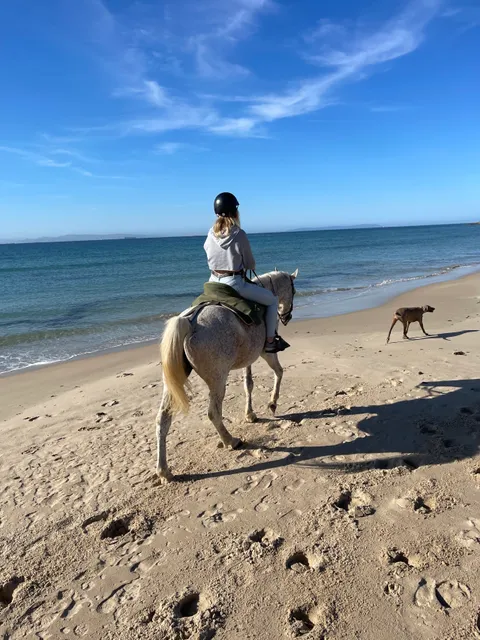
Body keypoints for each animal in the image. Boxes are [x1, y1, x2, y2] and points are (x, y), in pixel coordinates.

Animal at [155, 269, 298, 482]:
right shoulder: (266, 352)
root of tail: (189, 321)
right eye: (294, 291)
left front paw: (250, 414)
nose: (287, 316)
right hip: (217, 380)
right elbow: (279, 372)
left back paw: (164, 471)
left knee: (163, 419)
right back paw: (230, 440)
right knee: (213, 413)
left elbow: (249, 384)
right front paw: (272, 403)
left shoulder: (248, 359)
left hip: (172, 383)